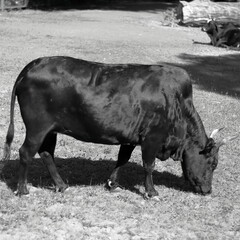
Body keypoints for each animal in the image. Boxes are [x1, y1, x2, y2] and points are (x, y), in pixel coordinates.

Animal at [1, 57, 230, 198]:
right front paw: (151, 192)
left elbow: (123, 159)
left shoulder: (130, 136)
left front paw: (112, 183)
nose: (208, 190)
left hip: (51, 129)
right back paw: (22, 189)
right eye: (213, 163)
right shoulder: (153, 137)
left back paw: (61, 185)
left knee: (46, 153)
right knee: (25, 152)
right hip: (37, 127)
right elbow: (149, 165)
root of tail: (34, 64)